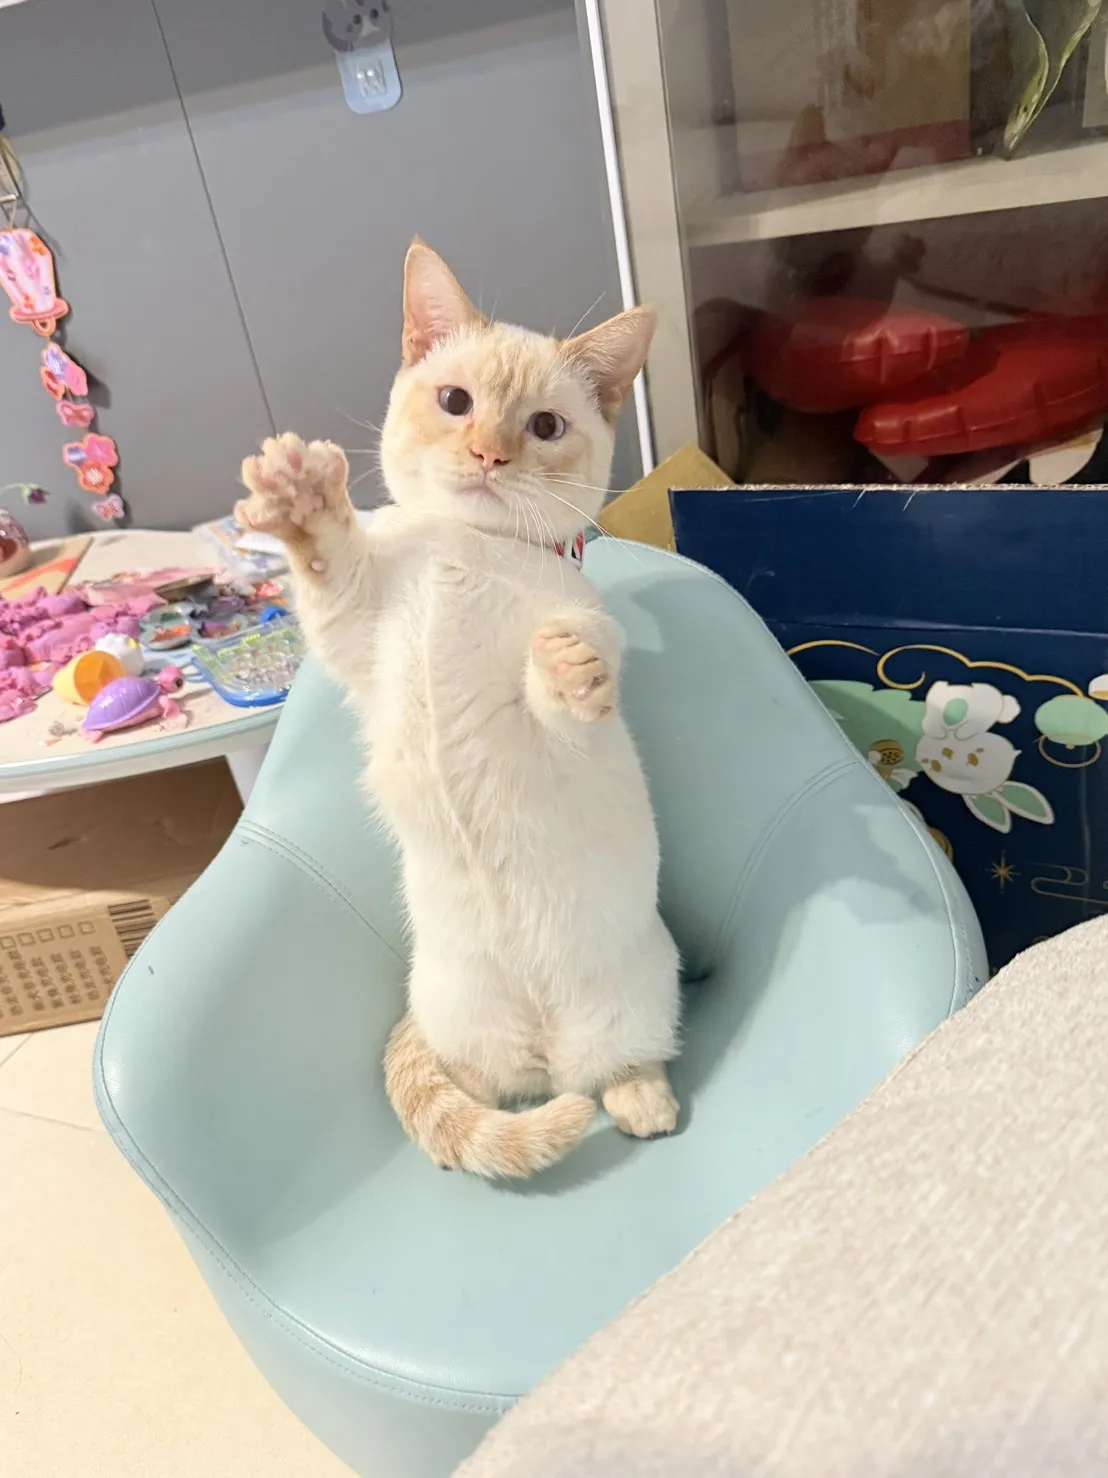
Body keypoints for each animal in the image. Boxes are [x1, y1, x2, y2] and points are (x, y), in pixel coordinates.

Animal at [236, 239, 681, 1178]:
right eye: (455, 403)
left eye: (544, 427)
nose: (487, 455)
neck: (466, 548)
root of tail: (547, 1047)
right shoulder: (355, 636)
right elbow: (329, 570)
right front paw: (301, 498)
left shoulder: (577, 646)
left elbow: (570, 686)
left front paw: (570, 670)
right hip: (462, 1020)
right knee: (468, 1094)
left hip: (637, 1000)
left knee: (618, 1071)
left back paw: (641, 1103)